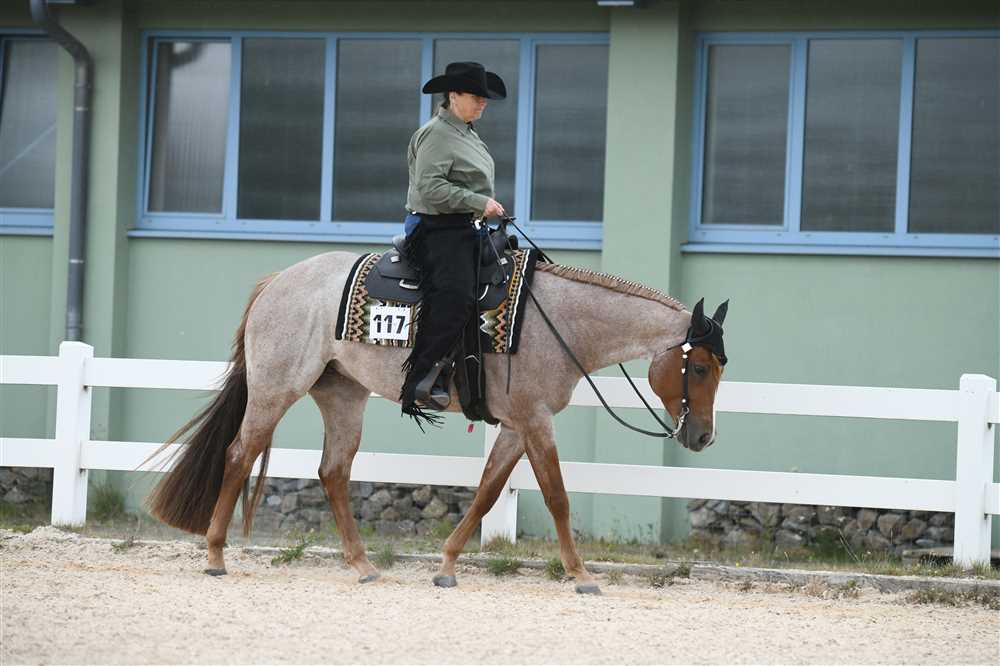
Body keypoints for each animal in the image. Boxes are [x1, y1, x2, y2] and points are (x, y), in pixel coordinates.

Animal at [146, 250, 728, 595]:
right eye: (699, 367)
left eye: (720, 367)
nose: (703, 436)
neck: (559, 321)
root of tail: (276, 281)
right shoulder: (536, 420)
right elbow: (557, 496)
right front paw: (581, 574)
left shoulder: (515, 425)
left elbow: (488, 493)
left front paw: (446, 564)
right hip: (275, 389)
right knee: (238, 455)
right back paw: (215, 555)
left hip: (342, 396)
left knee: (333, 472)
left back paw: (362, 565)